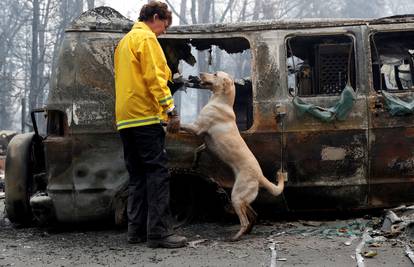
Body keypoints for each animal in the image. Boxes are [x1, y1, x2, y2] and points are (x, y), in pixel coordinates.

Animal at [181, 71, 284, 241]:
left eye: (215, 74)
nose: (199, 74)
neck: (221, 102)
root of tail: (260, 176)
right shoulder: (206, 143)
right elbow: (198, 150)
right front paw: (195, 162)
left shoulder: (197, 128)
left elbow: (181, 125)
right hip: (241, 198)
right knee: (253, 214)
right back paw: (248, 230)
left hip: (236, 196)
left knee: (244, 220)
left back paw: (236, 236)